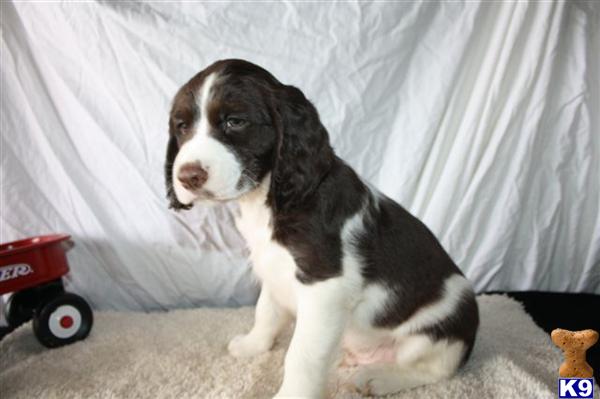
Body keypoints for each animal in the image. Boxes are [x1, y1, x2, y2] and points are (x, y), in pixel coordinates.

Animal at [164, 57, 478, 398]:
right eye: (182, 127)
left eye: (235, 122)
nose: (187, 177)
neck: (273, 197)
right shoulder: (273, 266)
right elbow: (266, 312)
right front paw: (251, 346)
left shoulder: (324, 287)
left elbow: (302, 355)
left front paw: (292, 395)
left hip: (441, 324)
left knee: (434, 369)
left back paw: (377, 377)